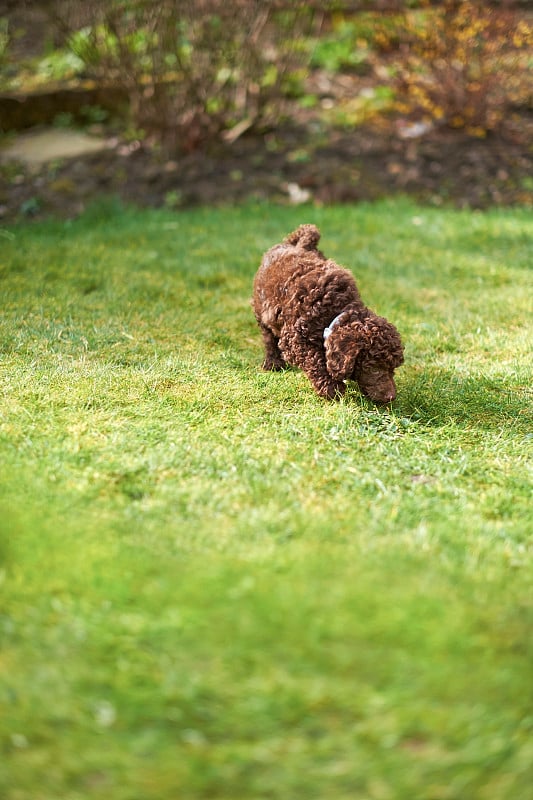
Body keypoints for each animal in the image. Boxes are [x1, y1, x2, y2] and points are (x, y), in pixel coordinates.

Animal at [254, 223, 404, 400]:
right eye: (374, 368)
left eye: (393, 368)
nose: (391, 397)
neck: (335, 310)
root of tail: (292, 244)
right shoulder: (295, 340)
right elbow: (315, 361)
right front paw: (333, 389)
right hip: (261, 310)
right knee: (269, 338)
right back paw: (273, 364)